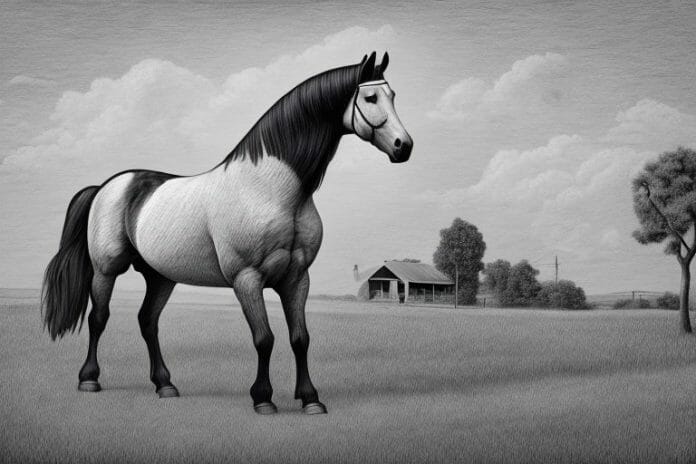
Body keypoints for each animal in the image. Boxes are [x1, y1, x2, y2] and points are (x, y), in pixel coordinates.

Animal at [41, 51, 412, 415]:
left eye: (394, 95)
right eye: (370, 97)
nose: (403, 146)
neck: (269, 187)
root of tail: (107, 186)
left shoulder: (297, 278)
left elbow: (300, 338)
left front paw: (310, 399)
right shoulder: (247, 278)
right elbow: (264, 338)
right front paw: (262, 399)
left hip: (160, 277)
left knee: (148, 321)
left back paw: (165, 385)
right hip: (106, 270)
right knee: (98, 318)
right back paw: (89, 379)